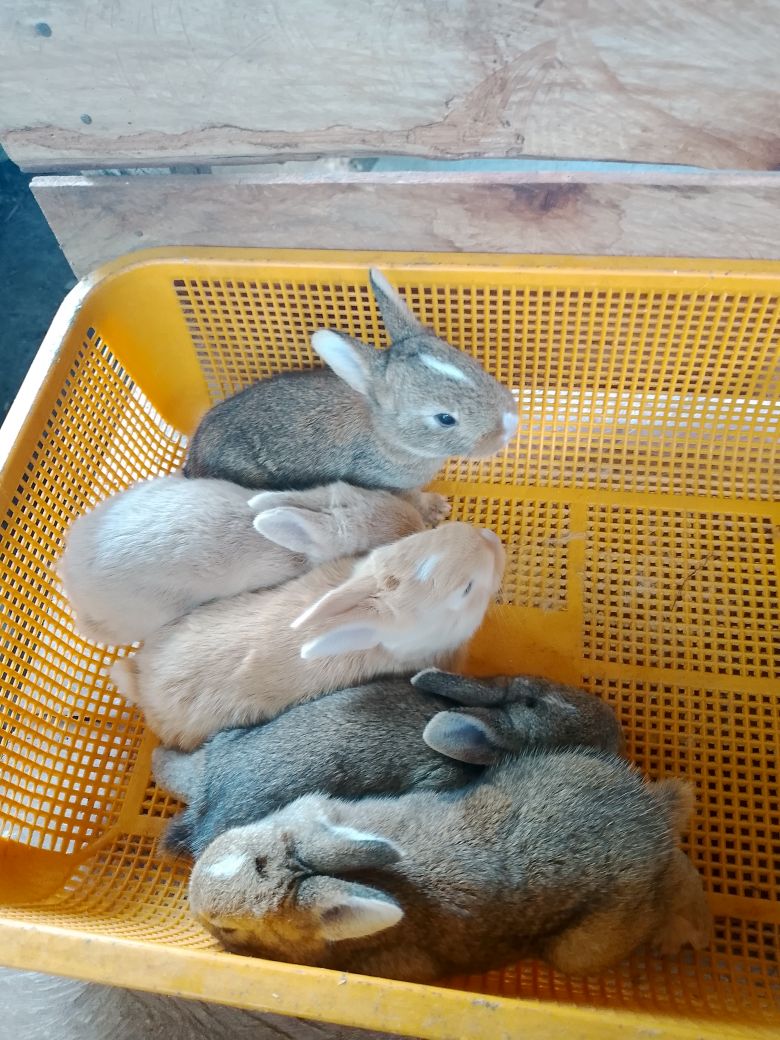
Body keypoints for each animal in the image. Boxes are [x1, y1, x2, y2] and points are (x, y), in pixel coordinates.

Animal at [189, 739, 712, 983]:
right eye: (237, 838)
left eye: (228, 926)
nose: (193, 896)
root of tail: (648, 817)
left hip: (589, 942)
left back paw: (678, 936)